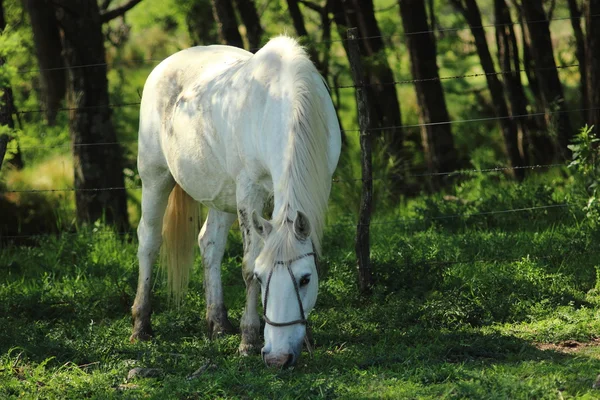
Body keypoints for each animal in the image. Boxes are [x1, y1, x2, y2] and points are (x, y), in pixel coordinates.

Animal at [131, 36, 342, 368]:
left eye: (306, 279)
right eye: (262, 277)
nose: (278, 358)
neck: (282, 104)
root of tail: (164, 65)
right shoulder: (249, 191)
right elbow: (247, 263)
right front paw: (249, 339)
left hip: (222, 195)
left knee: (209, 244)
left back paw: (218, 323)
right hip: (155, 177)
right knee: (149, 242)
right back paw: (141, 325)